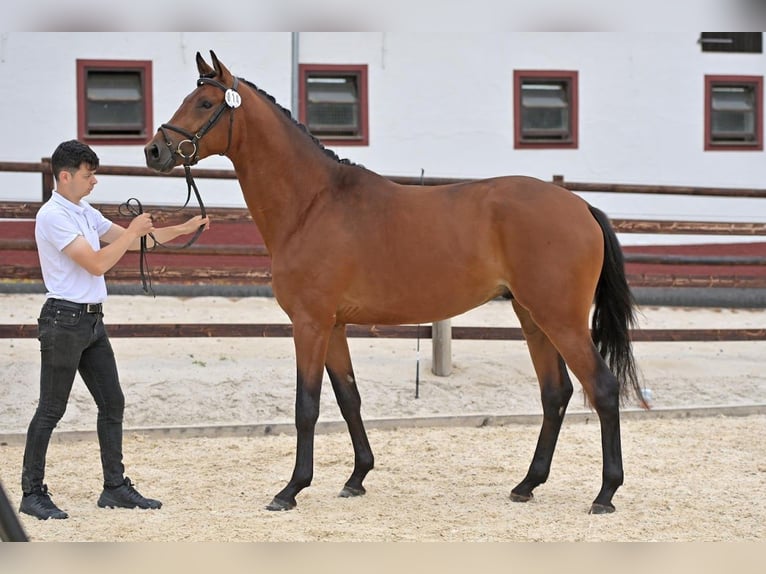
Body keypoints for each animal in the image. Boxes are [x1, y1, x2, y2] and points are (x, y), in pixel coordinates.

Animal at [146, 50, 648, 516]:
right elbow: (349, 397)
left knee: (602, 390)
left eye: (205, 102)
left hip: (560, 319)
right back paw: (527, 484)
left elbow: (307, 406)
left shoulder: (309, 323)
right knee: (555, 393)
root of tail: (580, 206)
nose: (154, 151)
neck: (313, 204)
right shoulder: (333, 326)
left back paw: (605, 493)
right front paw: (357, 477)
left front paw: (290, 490)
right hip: (532, 317)